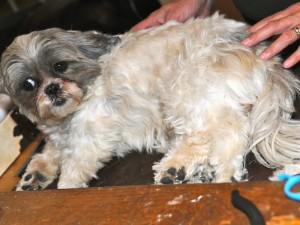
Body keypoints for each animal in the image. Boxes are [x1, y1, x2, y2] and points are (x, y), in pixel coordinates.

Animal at [0, 13, 300, 191]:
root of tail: (268, 59)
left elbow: (75, 164)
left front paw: (65, 185)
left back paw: (221, 177)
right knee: (202, 138)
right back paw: (180, 171)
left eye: (60, 66)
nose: (51, 89)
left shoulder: (94, 129)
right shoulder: (60, 134)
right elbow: (51, 150)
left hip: (187, 87)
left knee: (228, 134)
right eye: (28, 85)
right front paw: (34, 175)